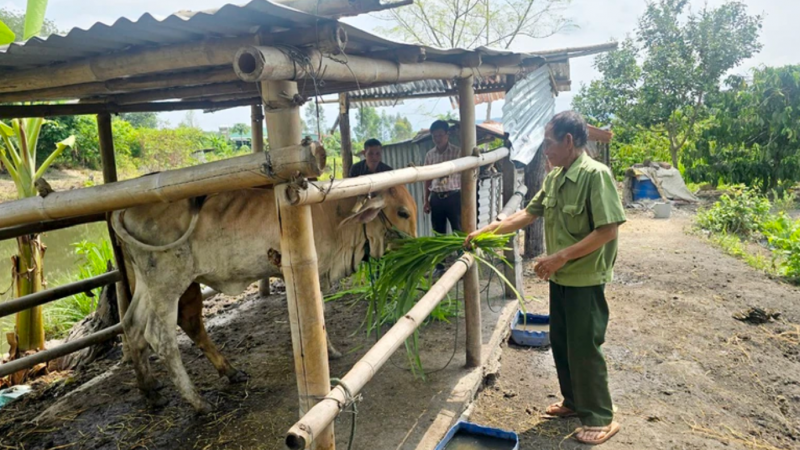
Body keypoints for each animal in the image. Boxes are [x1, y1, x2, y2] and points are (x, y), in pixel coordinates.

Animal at [111, 185, 418, 414]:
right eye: (402, 212)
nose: (418, 244)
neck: (335, 216)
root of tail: (124, 207)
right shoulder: (304, 271)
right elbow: (317, 313)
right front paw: (328, 350)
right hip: (167, 283)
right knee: (160, 337)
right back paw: (199, 402)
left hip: (147, 285)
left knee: (133, 326)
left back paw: (155, 390)